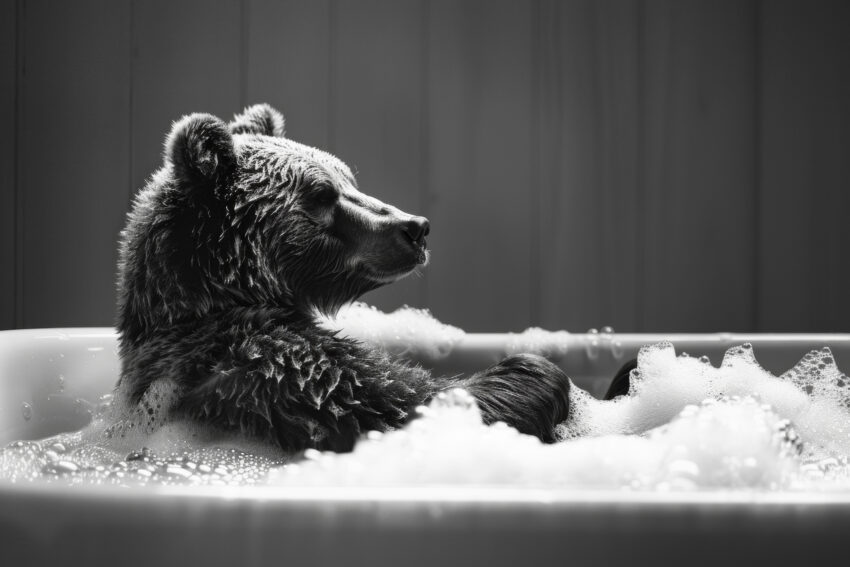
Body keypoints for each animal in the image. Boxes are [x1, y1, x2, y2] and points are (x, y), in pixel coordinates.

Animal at [112, 103, 572, 453]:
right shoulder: (275, 369)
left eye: (349, 180)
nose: (415, 227)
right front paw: (532, 372)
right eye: (320, 195)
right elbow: (398, 404)